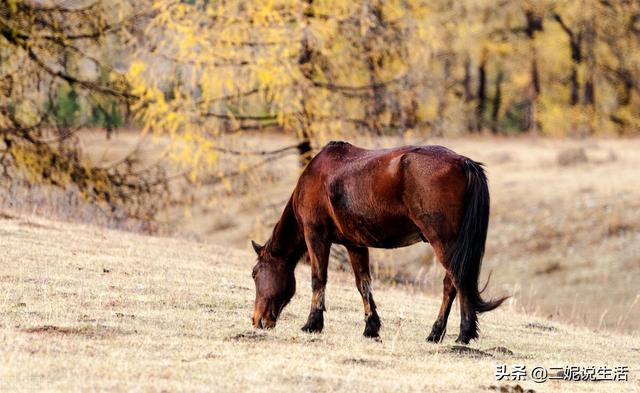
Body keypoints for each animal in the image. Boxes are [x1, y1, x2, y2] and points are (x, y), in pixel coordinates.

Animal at [249, 141, 504, 344]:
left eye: (254, 273)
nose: (256, 320)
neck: (316, 178)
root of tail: (463, 161)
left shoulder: (316, 235)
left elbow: (318, 279)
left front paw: (312, 324)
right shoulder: (355, 244)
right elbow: (363, 284)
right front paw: (371, 328)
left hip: (444, 243)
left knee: (458, 282)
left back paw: (464, 335)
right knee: (451, 284)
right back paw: (435, 334)